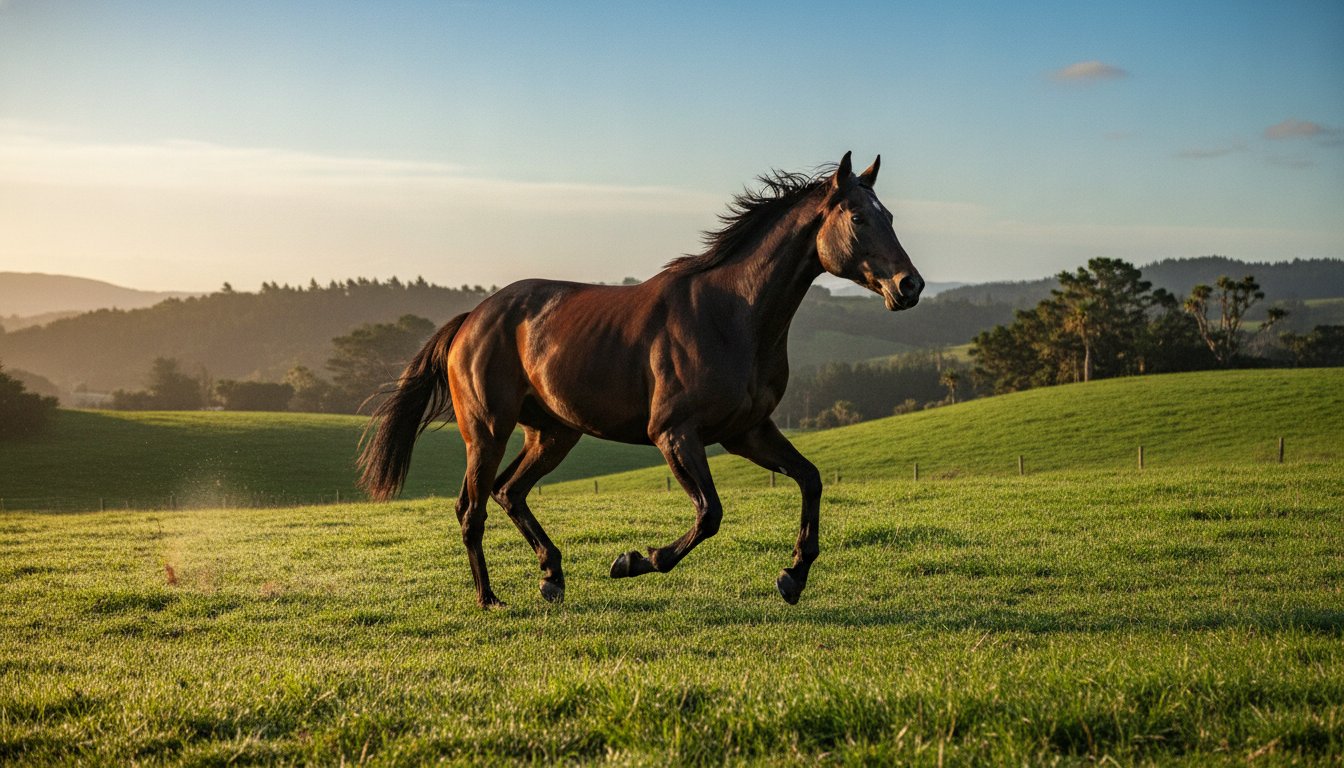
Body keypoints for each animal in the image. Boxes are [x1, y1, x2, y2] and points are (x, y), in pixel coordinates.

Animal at [358, 151, 924, 608]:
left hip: (552, 433)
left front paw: (793, 577)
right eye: (858, 217)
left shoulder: (747, 432)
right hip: (487, 431)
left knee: (508, 492)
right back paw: (489, 598)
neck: (732, 315)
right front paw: (632, 561)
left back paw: (552, 577)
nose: (909, 285)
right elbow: (710, 513)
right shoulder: (674, 433)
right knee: (471, 508)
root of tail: (471, 319)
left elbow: (810, 478)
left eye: (891, 216)